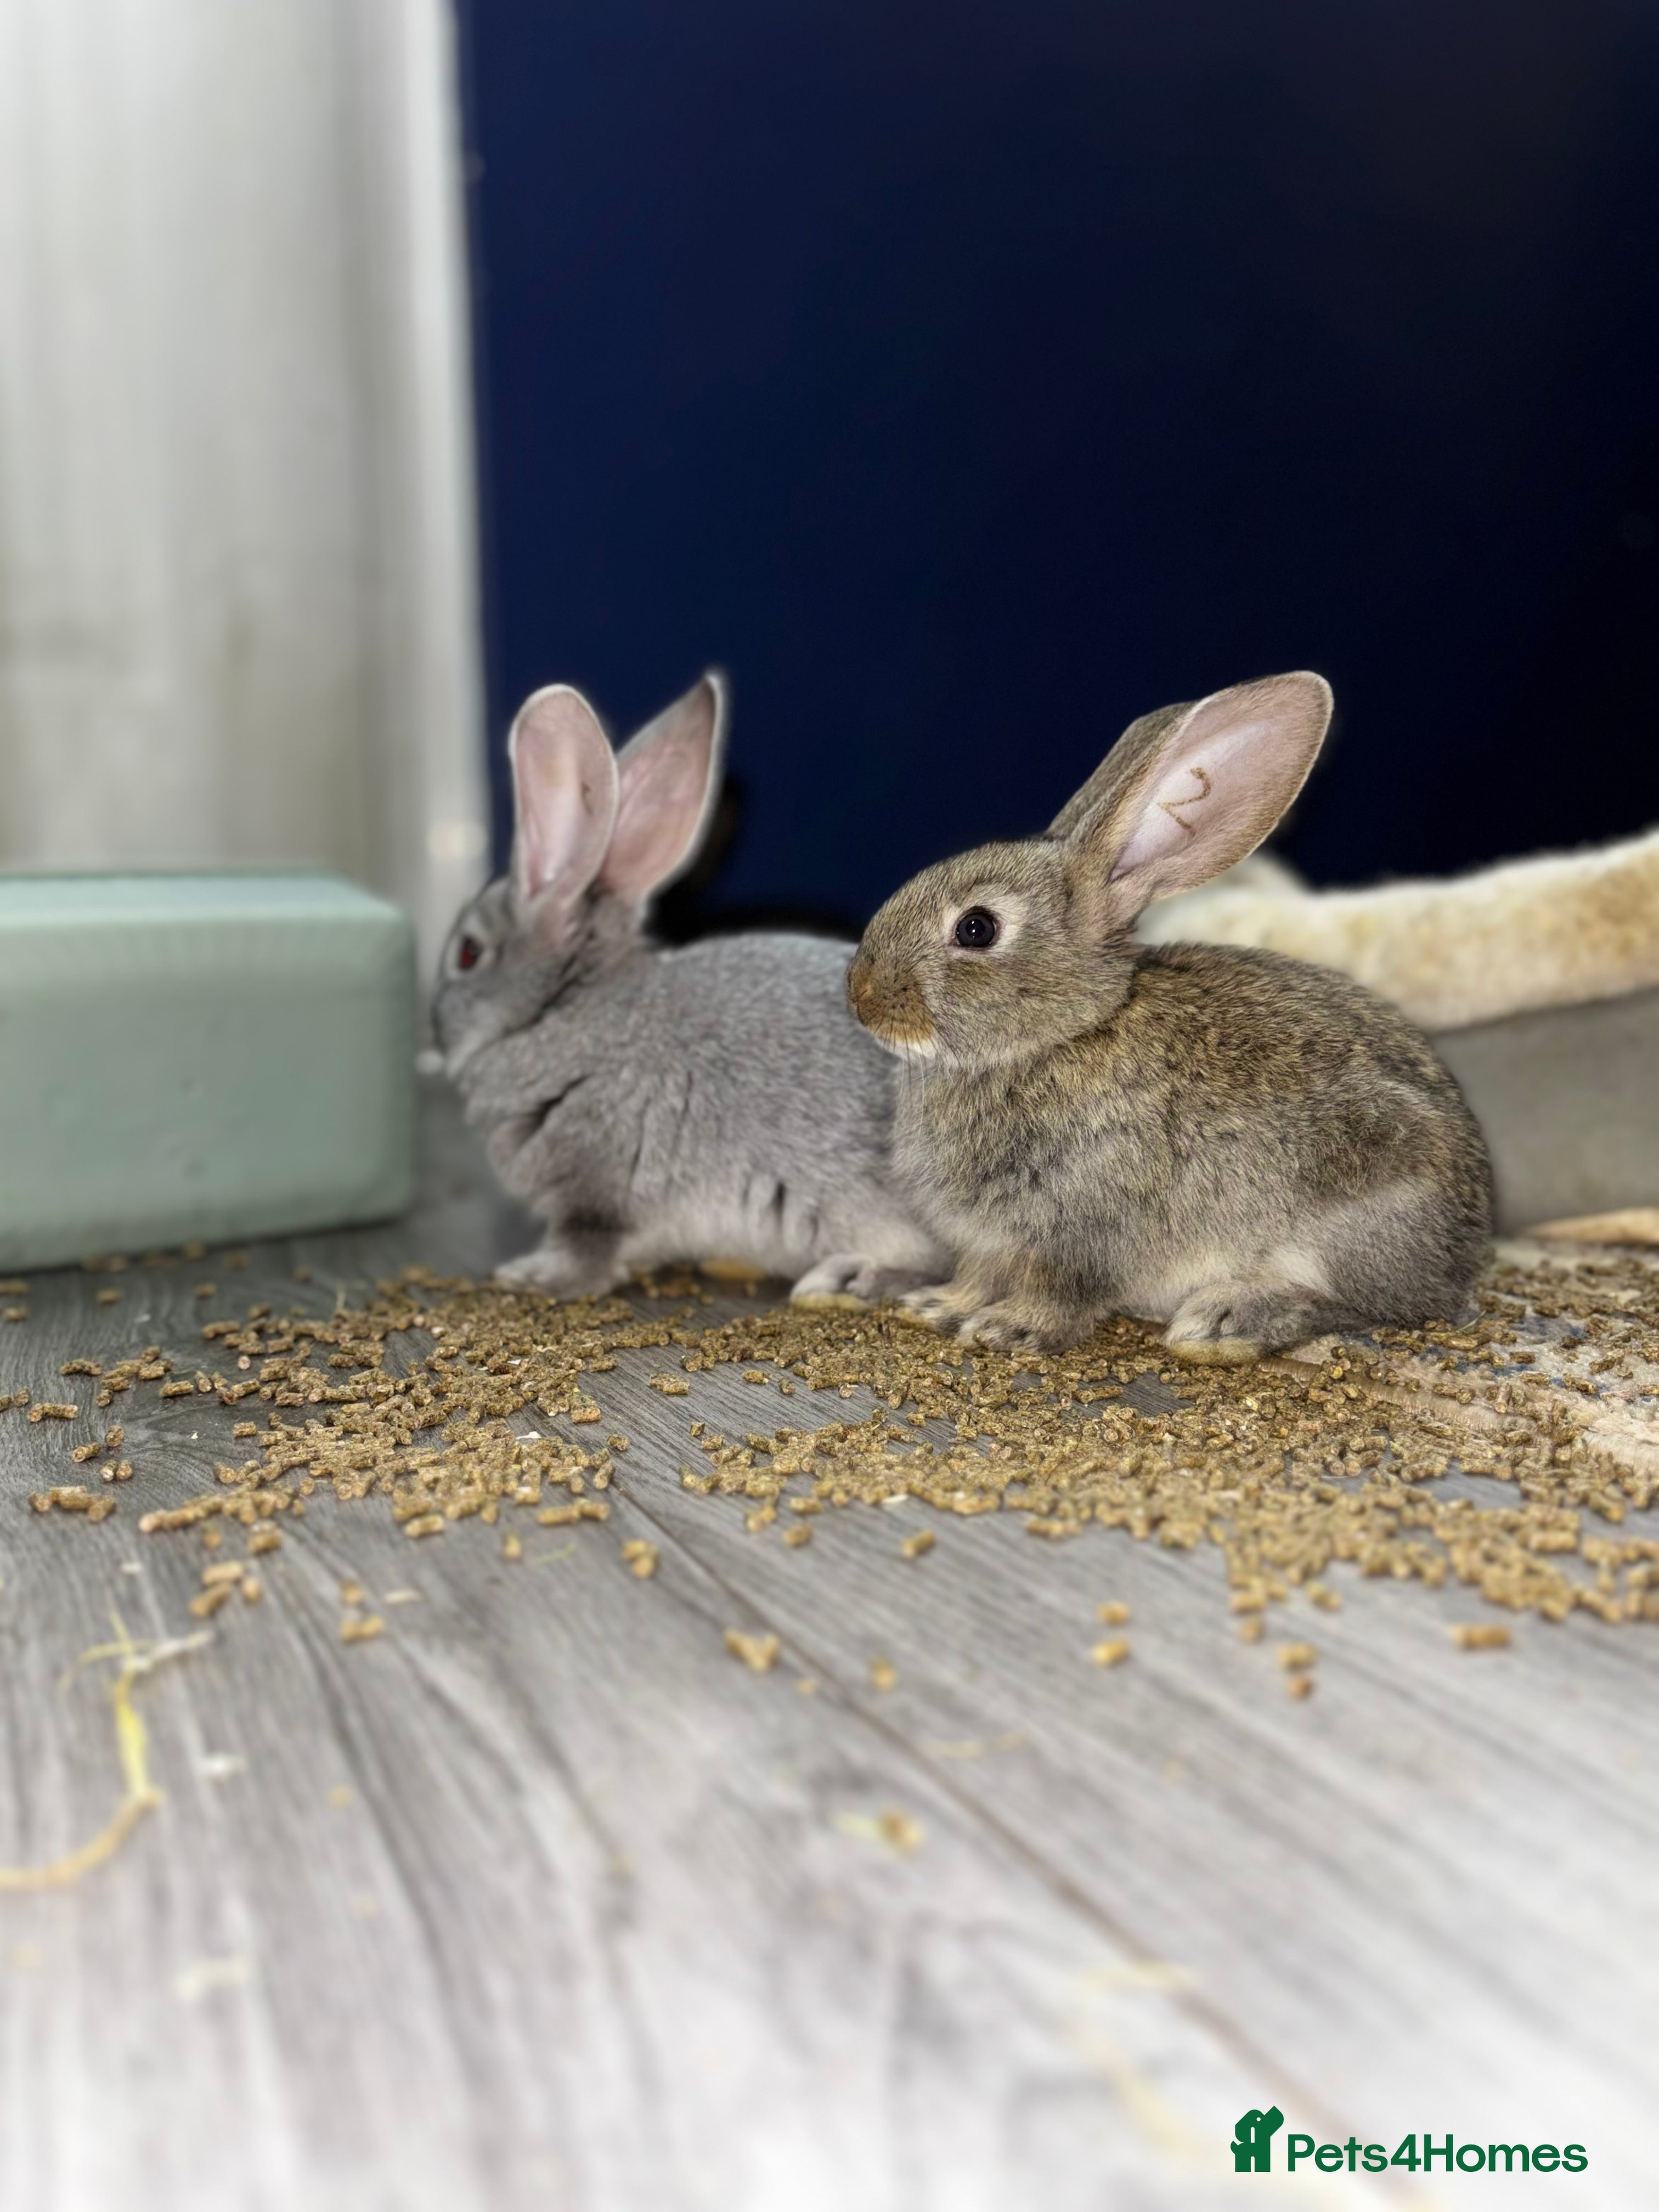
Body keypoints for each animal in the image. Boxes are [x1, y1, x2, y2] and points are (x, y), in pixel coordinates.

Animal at [432, 671, 948, 1305]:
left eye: (468, 953)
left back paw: (848, 1277)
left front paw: (531, 1276)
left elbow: (585, 1253)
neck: (556, 1010)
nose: (433, 1026)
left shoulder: (592, 1188)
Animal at [846, 671, 1493, 1360]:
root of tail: (1462, 1254)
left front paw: (1010, 1329)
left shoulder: (1078, 1232)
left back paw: (1228, 1321)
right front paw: (937, 1306)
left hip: (1349, 1220)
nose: (860, 996)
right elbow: (976, 1275)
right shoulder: (986, 1243)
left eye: (977, 928)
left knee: (1365, 1306)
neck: (1065, 1032)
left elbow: (1060, 1293)